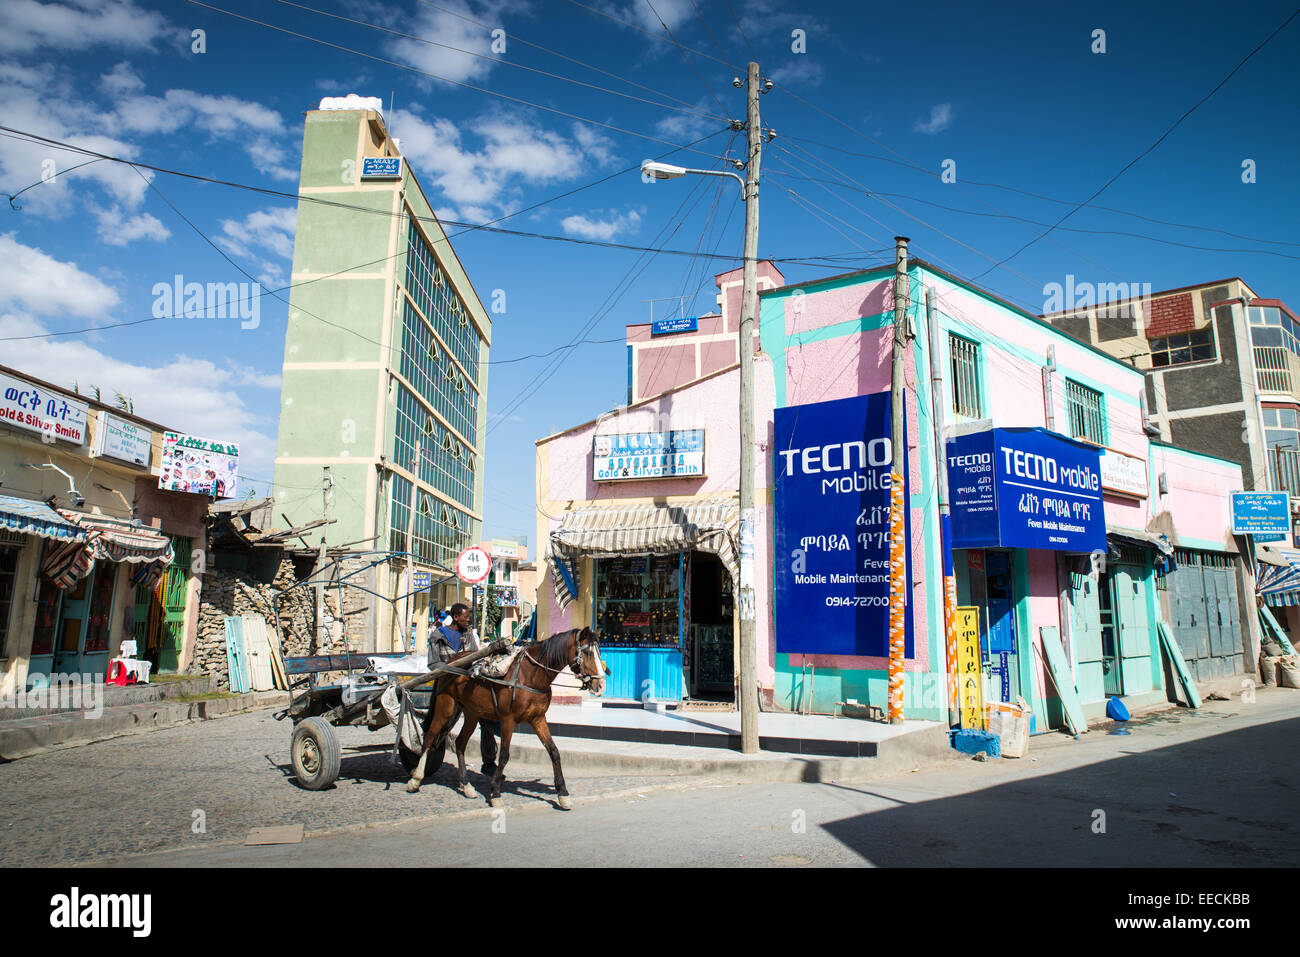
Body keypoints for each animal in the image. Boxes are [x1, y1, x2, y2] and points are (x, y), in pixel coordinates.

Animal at [405, 629, 608, 806]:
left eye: (599, 651)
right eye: (588, 652)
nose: (601, 686)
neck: (531, 675)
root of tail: (451, 661)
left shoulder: (538, 718)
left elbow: (554, 751)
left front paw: (563, 794)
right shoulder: (508, 720)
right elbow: (504, 755)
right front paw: (495, 793)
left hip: (472, 712)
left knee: (460, 743)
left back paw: (466, 786)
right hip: (445, 707)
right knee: (429, 737)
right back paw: (415, 779)